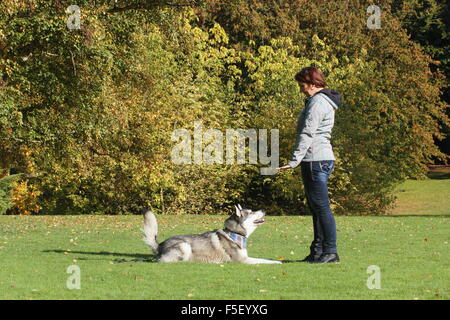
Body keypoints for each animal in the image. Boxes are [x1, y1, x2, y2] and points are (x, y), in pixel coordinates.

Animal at [142, 205, 282, 264]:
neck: (234, 233)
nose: (264, 209)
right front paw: (277, 262)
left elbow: (265, 259)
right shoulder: (242, 260)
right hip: (184, 246)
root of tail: (159, 245)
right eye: (251, 212)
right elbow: (263, 261)